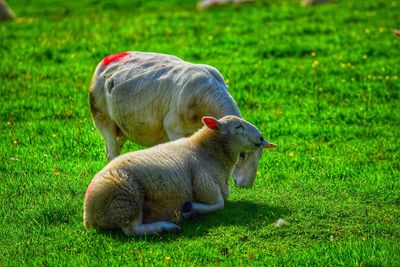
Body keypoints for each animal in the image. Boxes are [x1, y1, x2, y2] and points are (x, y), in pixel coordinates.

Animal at [83, 115, 278, 237]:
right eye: (238, 127)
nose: (261, 138)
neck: (207, 152)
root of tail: (88, 214)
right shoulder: (204, 184)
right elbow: (219, 204)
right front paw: (189, 210)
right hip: (128, 198)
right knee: (132, 230)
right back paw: (168, 226)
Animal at [89, 51, 268, 187]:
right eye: (242, 155)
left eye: (259, 156)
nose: (246, 185)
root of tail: (109, 58)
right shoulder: (175, 130)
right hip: (102, 118)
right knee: (112, 151)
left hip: (123, 127)